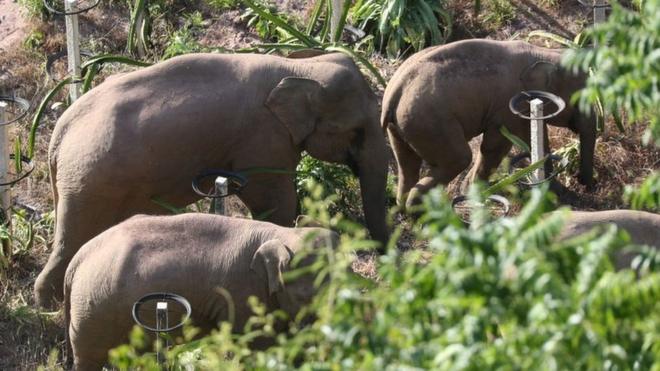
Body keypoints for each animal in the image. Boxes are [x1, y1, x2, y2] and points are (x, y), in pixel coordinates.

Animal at [33, 51, 390, 308]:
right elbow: (276, 200)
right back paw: (49, 303)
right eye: (356, 131)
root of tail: (59, 133)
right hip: (90, 180)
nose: (383, 265)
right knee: (72, 237)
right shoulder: (264, 140)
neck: (298, 66)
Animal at [65, 214, 340, 370]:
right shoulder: (242, 294)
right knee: (90, 357)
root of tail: (77, 259)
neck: (281, 232)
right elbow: (256, 346)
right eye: (305, 296)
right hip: (91, 311)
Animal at [382, 40, 600, 209]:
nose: (587, 184)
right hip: (430, 123)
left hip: (403, 126)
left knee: (406, 162)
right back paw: (420, 214)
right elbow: (496, 146)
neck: (542, 52)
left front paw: (555, 193)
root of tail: (395, 90)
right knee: (459, 158)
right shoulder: (507, 105)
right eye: (580, 99)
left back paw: (403, 207)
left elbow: (535, 142)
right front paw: (471, 193)